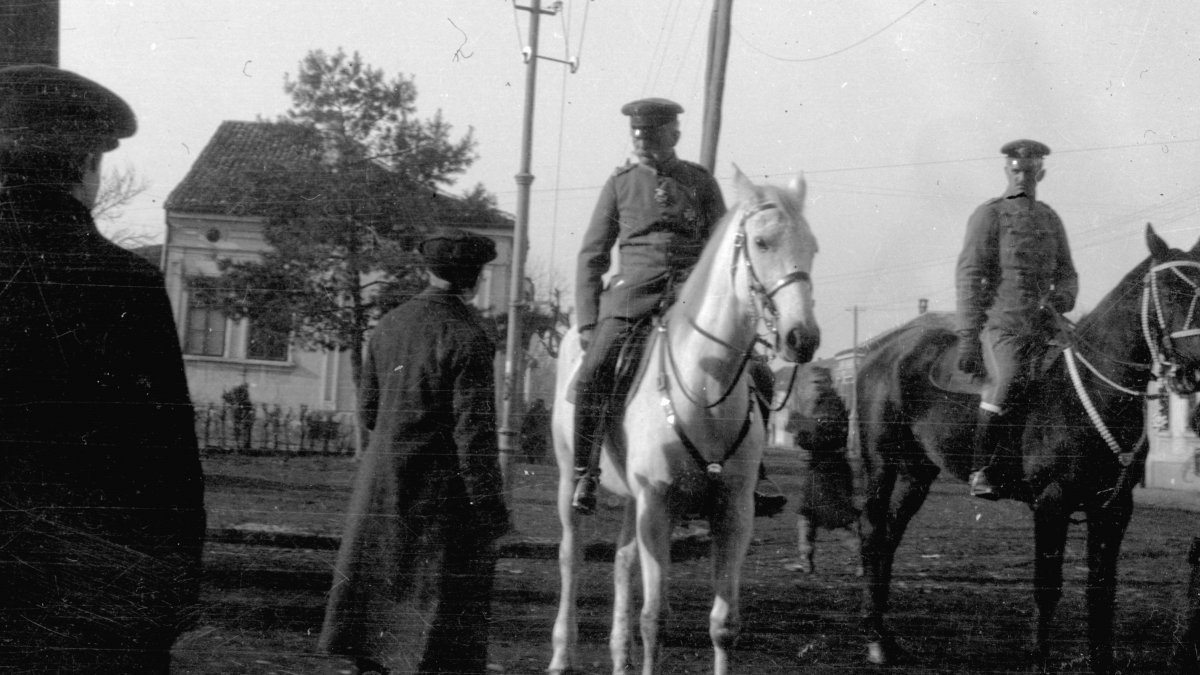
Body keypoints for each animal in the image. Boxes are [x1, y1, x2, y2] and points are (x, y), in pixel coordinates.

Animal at [548, 167, 820, 675]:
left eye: (812, 246)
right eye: (761, 242)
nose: (802, 338)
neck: (706, 391)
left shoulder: (733, 511)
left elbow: (724, 624)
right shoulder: (658, 505)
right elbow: (655, 618)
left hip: (632, 500)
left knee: (622, 562)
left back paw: (618, 657)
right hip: (569, 484)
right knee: (571, 558)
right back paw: (561, 653)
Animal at [854, 225, 1200, 674]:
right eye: (1173, 291)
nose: (1193, 368)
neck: (1094, 388)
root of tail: (883, 350)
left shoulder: (1114, 507)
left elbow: (1102, 590)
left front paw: (1101, 660)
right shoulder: (1052, 501)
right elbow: (1047, 586)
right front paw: (1039, 659)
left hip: (917, 473)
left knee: (891, 536)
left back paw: (887, 636)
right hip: (881, 463)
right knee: (871, 532)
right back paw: (875, 638)